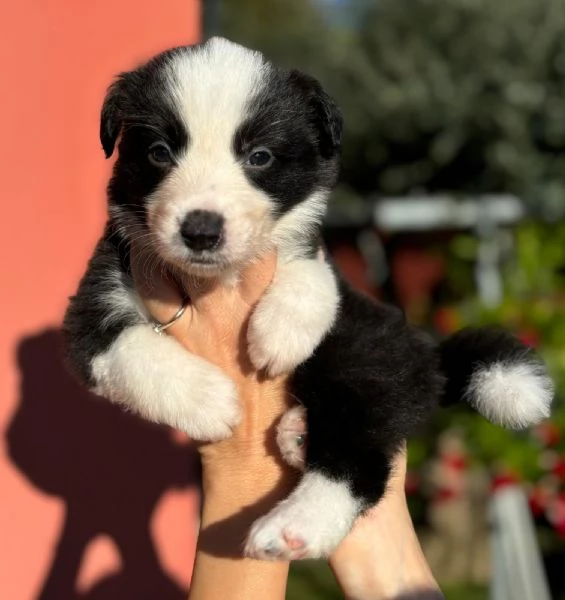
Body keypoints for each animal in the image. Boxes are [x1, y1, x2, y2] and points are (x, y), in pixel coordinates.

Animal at [64, 38, 552, 556]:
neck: (221, 278)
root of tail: (429, 356)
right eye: (159, 152)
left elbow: (313, 273)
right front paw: (208, 400)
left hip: (360, 363)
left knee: (358, 462)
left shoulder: (316, 264)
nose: (201, 231)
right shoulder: (95, 302)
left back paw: (293, 525)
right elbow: (128, 347)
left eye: (259, 156)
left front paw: (280, 333)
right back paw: (297, 439)